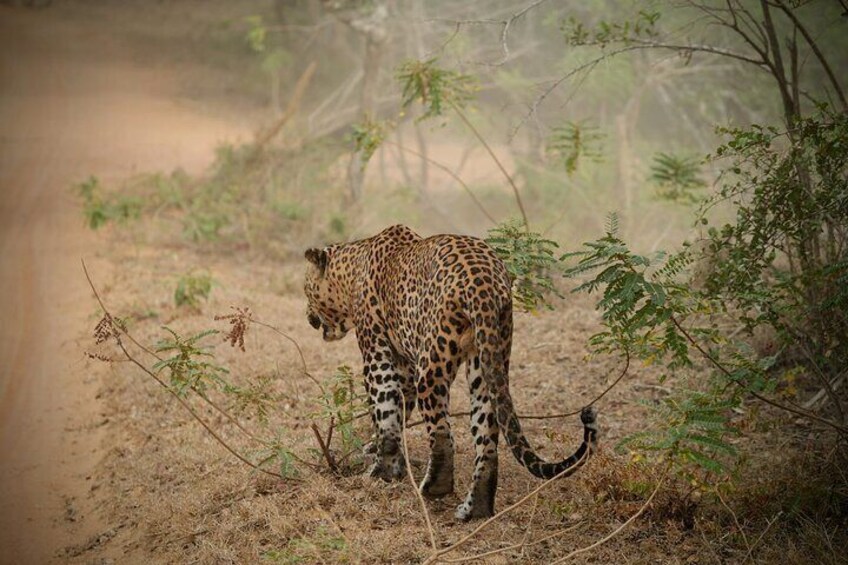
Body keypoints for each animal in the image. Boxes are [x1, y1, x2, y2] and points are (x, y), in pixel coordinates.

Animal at [304, 224, 598, 521]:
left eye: (306, 290)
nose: (307, 316)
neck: (352, 267)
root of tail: (484, 281)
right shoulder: (405, 365)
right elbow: (398, 413)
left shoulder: (377, 352)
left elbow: (385, 410)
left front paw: (381, 470)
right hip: (487, 359)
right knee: (486, 438)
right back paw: (475, 507)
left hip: (433, 361)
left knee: (442, 432)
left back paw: (435, 487)